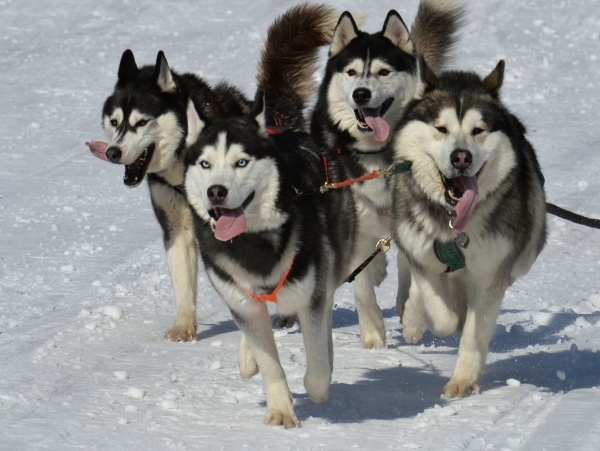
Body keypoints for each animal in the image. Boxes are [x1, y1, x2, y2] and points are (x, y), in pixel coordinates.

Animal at [184, 4, 356, 428]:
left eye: (241, 162)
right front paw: (280, 409)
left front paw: (316, 386)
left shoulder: (311, 295)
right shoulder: (241, 300)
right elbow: (270, 364)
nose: (216, 191)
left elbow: (317, 366)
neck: (254, 244)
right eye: (206, 163)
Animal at [312, 0, 466, 350]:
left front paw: (412, 321)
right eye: (352, 72)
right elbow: (362, 290)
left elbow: (419, 280)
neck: (379, 156)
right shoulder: (355, 223)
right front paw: (372, 333)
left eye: (383, 71)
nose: (361, 94)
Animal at [390, 57, 548, 400]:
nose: (461, 157)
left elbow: (474, 330)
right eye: (441, 128)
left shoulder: (492, 272)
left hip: (525, 252)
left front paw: (462, 380)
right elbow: (442, 316)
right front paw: (424, 319)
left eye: (478, 131)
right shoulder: (420, 251)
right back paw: (413, 319)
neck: (453, 224)